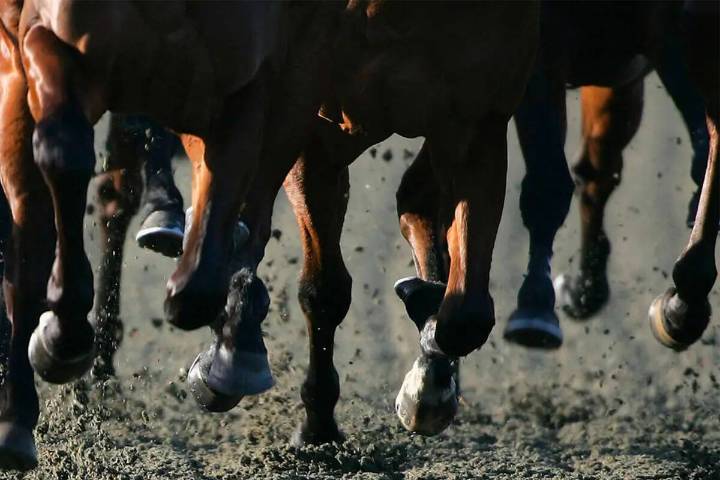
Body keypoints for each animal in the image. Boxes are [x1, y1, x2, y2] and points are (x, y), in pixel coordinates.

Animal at [498, 1, 712, 349]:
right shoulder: (540, 48)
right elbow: (547, 181)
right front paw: (535, 306)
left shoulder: (674, 34)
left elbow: (705, 150)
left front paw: (682, 307)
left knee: (597, 171)